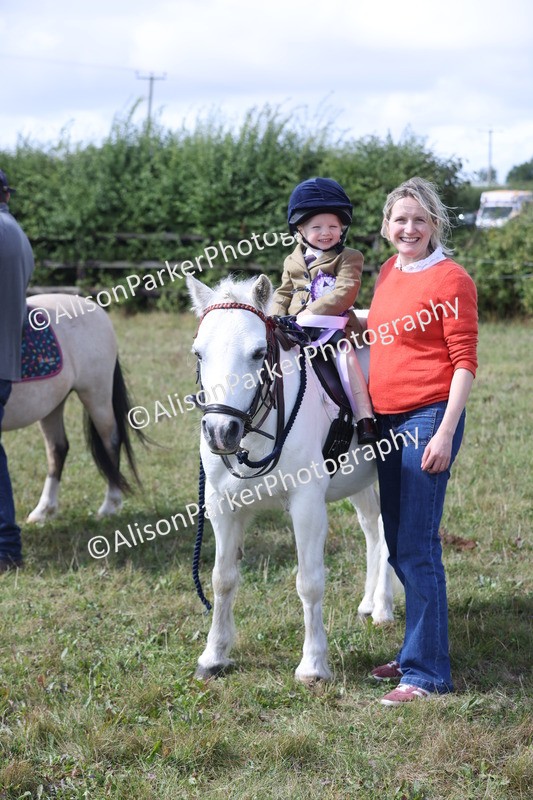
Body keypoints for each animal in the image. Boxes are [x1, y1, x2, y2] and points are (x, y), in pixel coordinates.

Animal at [3, 294, 144, 523]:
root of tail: (96, 310)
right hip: (52, 404)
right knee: (57, 448)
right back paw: (43, 510)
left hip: (96, 395)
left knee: (111, 441)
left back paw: (109, 506)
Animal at [187, 273, 394, 683]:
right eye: (199, 353)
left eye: (256, 353)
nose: (220, 432)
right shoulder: (222, 507)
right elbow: (222, 579)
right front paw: (214, 655)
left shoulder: (307, 506)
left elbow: (309, 583)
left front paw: (313, 665)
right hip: (360, 482)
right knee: (373, 529)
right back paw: (368, 603)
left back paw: (383, 607)